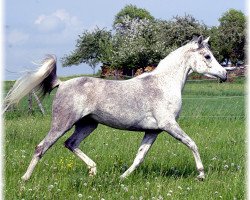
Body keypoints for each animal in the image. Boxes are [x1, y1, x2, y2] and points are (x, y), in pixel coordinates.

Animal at [3, 35, 227, 181]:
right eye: (207, 56)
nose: (224, 74)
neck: (163, 84)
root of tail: (62, 83)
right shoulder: (169, 125)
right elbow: (192, 143)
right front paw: (201, 174)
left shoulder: (153, 131)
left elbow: (139, 156)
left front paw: (123, 177)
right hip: (62, 123)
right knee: (42, 147)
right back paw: (25, 180)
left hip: (88, 125)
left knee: (70, 144)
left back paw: (93, 171)